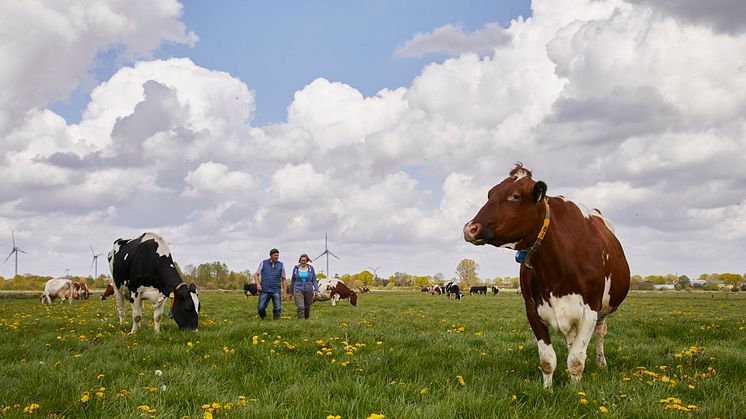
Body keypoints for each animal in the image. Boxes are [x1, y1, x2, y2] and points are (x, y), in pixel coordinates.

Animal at [460, 165, 628, 390]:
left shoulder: (590, 310)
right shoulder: (532, 309)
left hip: (603, 308)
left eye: (515, 196)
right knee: (570, 338)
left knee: (600, 333)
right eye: (489, 194)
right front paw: (548, 390)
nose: (470, 228)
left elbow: (576, 360)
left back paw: (602, 364)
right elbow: (548, 359)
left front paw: (576, 391)